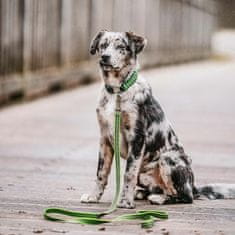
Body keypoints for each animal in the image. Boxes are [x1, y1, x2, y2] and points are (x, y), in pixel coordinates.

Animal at [80, 30, 235, 208]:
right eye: (103, 46)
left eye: (121, 47)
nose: (105, 57)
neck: (118, 91)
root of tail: (194, 186)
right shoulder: (105, 139)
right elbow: (101, 172)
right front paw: (93, 196)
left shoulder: (137, 138)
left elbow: (128, 174)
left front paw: (125, 202)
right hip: (145, 173)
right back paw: (142, 193)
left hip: (168, 158)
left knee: (185, 196)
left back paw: (158, 198)